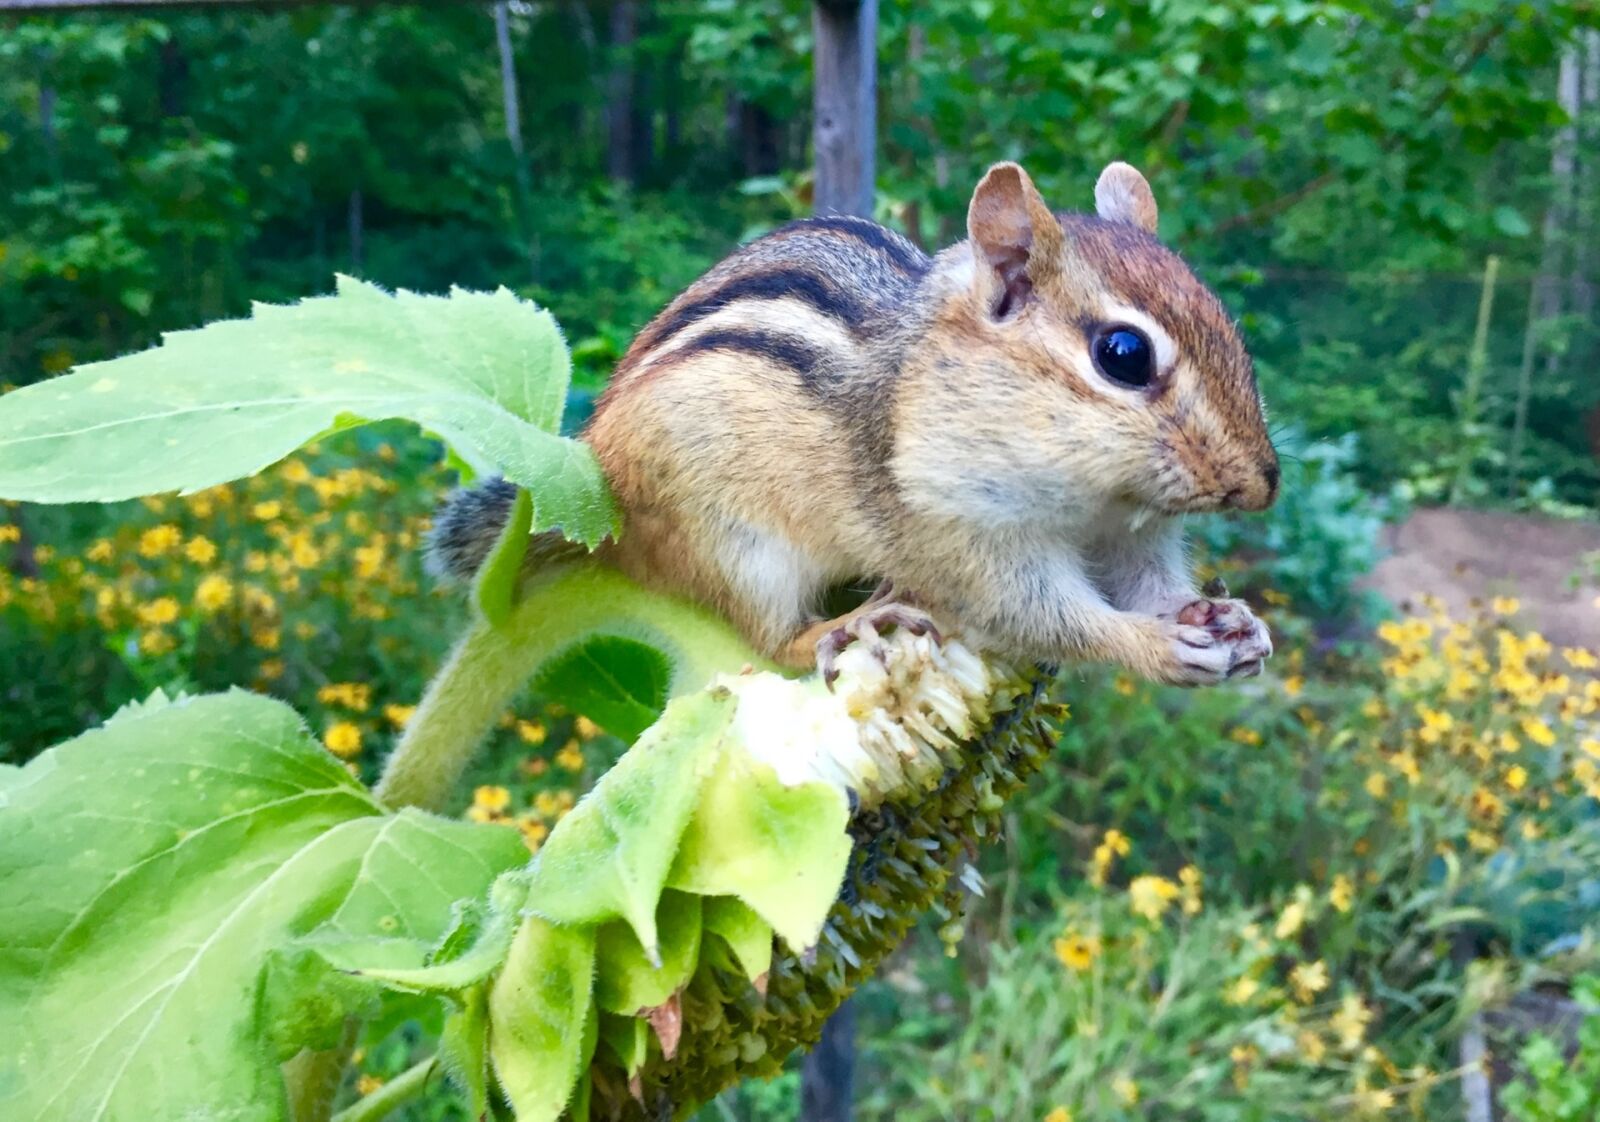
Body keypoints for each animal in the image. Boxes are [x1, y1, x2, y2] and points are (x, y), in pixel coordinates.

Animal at [429, 161, 1278, 687]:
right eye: (1123, 354)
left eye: (1228, 323)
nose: (1262, 486)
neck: (1096, 499)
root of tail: (605, 508)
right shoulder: (961, 537)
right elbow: (1041, 618)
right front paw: (1155, 644)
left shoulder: (1134, 536)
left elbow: (1150, 583)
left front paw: (1225, 618)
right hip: (735, 549)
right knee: (770, 638)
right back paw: (848, 624)